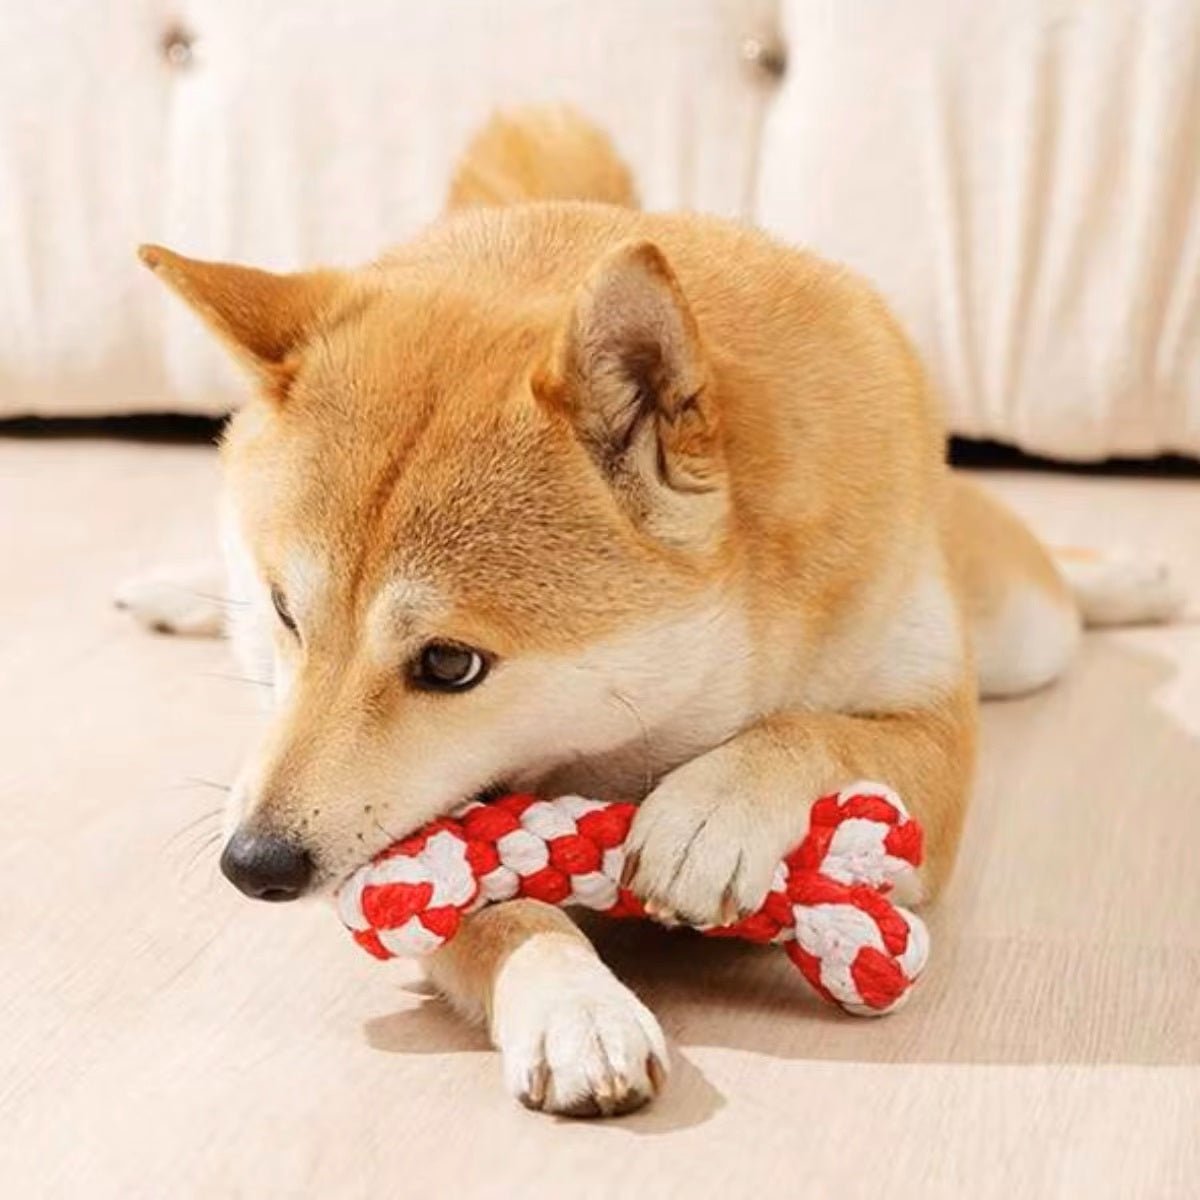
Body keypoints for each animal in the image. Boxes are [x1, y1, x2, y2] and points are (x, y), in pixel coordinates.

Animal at [121, 103, 1180, 1113]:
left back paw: (1135, 579)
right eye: (288, 613)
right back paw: (171, 588)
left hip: (1021, 632)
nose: (254, 863)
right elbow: (495, 911)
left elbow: (813, 729)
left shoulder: (935, 763)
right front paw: (573, 1006)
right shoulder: (406, 842)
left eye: (450, 664)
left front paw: (715, 808)